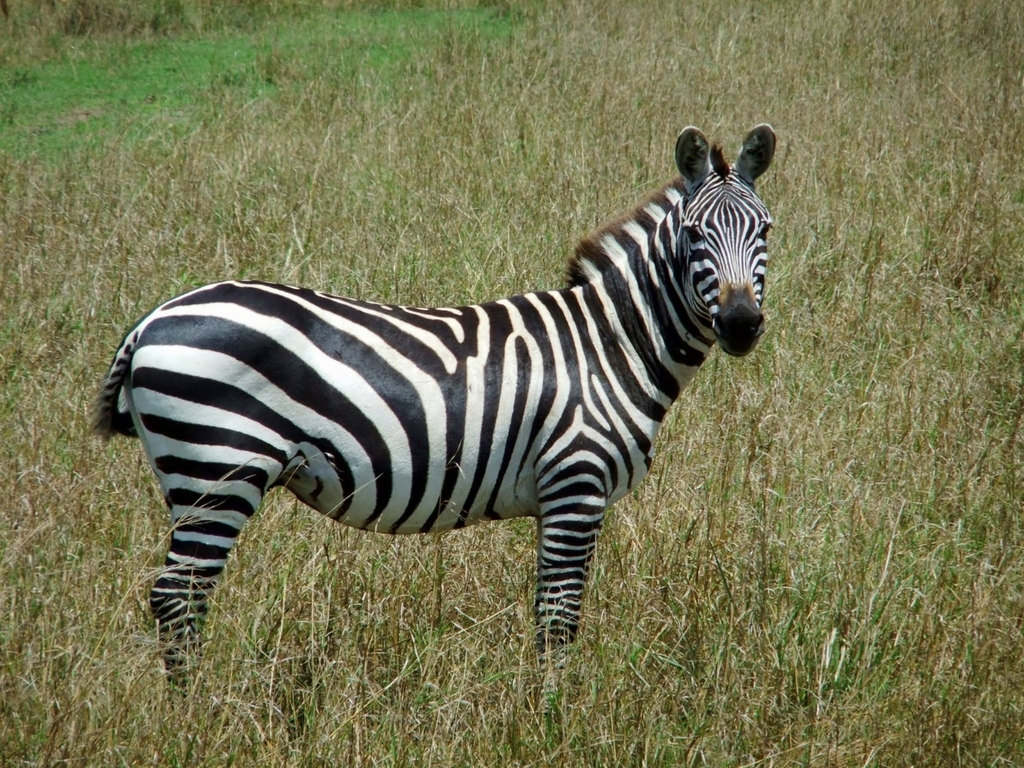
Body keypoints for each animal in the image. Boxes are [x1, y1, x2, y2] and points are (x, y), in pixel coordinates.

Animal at [93, 124, 776, 684]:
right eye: (694, 234)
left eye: (765, 230)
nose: (742, 325)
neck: (610, 344)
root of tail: (153, 319)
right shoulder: (576, 485)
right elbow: (558, 619)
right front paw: (552, 719)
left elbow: (549, 613)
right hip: (218, 468)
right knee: (178, 599)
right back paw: (193, 715)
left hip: (197, 475)